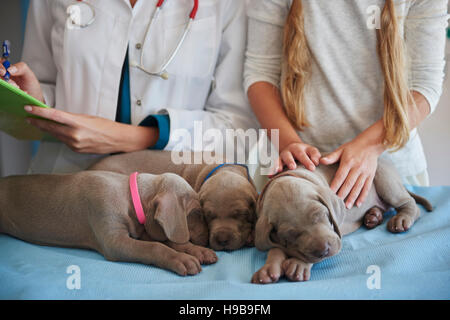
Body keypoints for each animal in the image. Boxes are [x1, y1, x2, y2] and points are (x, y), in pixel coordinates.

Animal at [0, 171, 218, 276]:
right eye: (197, 213)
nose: (208, 240)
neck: (130, 196)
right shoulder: (114, 241)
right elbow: (155, 247)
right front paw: (182, 259)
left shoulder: (144, 229)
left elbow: (166, 240)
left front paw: (198, 251)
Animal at [253, 159, 432, 284]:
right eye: (291, 235)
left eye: (321, 214)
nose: (324, 250)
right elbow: (275, 249)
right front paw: (269, 268)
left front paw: (299, 264)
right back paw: (373, 216)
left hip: (384, 180)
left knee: (409, 203)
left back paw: (401, 219)